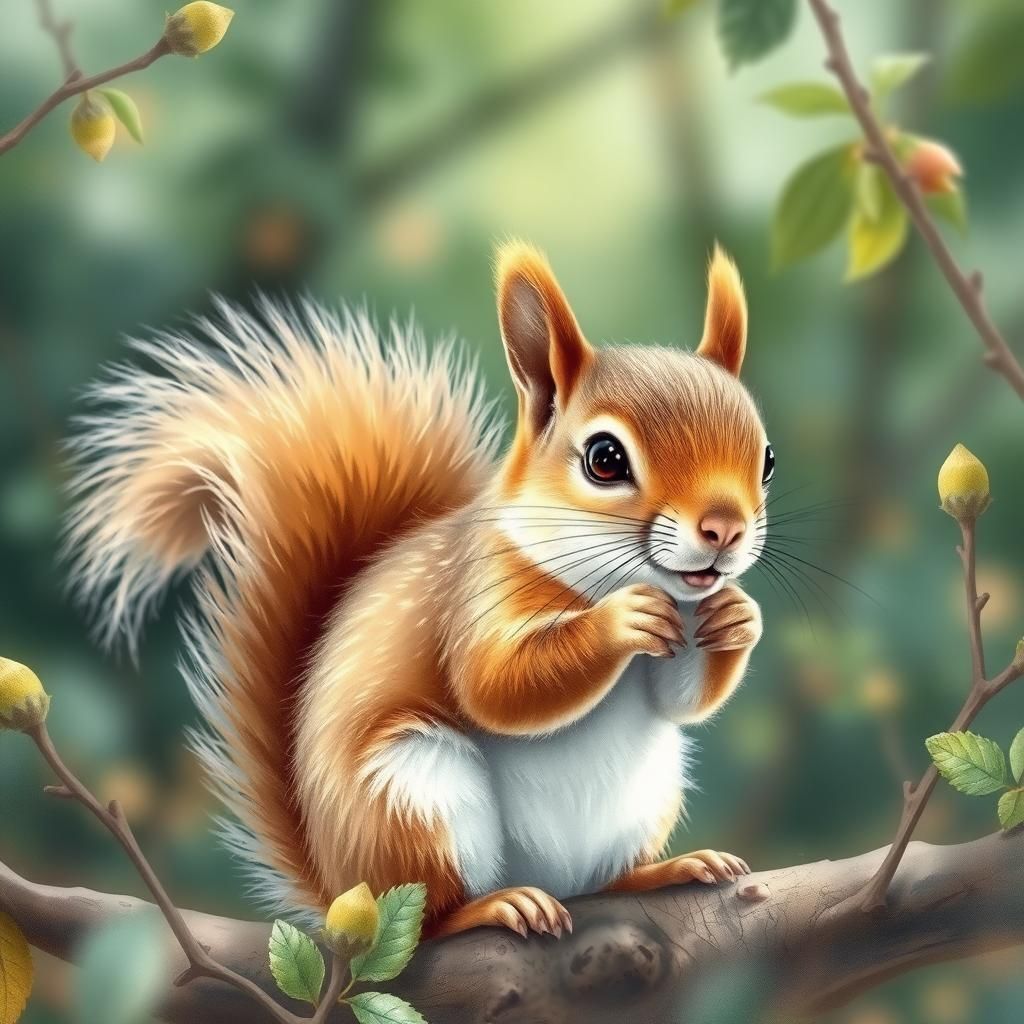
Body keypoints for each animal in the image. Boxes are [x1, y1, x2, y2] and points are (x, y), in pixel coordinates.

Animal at [65, 241, 771, 939]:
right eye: (605, 459)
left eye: (765, 459)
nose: (725, 530)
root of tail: (337, 882)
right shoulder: (473, 594)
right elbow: (496, 685)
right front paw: (619, 620)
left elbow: (680, 699)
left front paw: (738, 617)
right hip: (411, 797)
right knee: (426, 920)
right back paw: (496, 906)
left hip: (644, 797)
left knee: (606, 878)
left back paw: (666, 870)